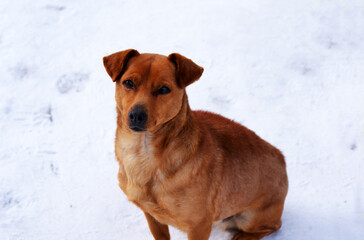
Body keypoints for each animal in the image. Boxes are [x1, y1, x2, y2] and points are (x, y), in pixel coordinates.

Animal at [101, 49, 288, 240]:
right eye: (128, 83)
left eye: (164, 89)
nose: (137, 115)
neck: (142, 154)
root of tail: (281, 159)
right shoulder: (151, 215)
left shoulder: (199, 225)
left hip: (249, 218)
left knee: (274, 226)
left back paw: (243, 236)